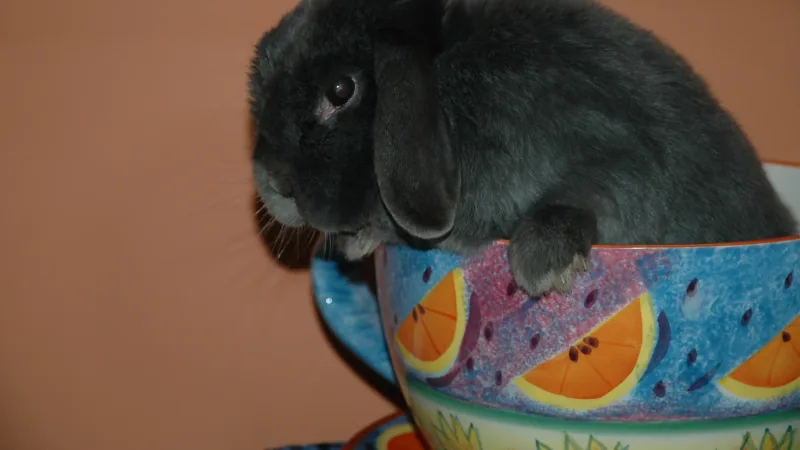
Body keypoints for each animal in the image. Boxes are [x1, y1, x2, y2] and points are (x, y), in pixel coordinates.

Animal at [248, 0, 797, 297]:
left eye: (341, 90)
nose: (273, 185)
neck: (451, 72)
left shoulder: (615, 145)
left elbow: (593, 191)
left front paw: (544, 263)